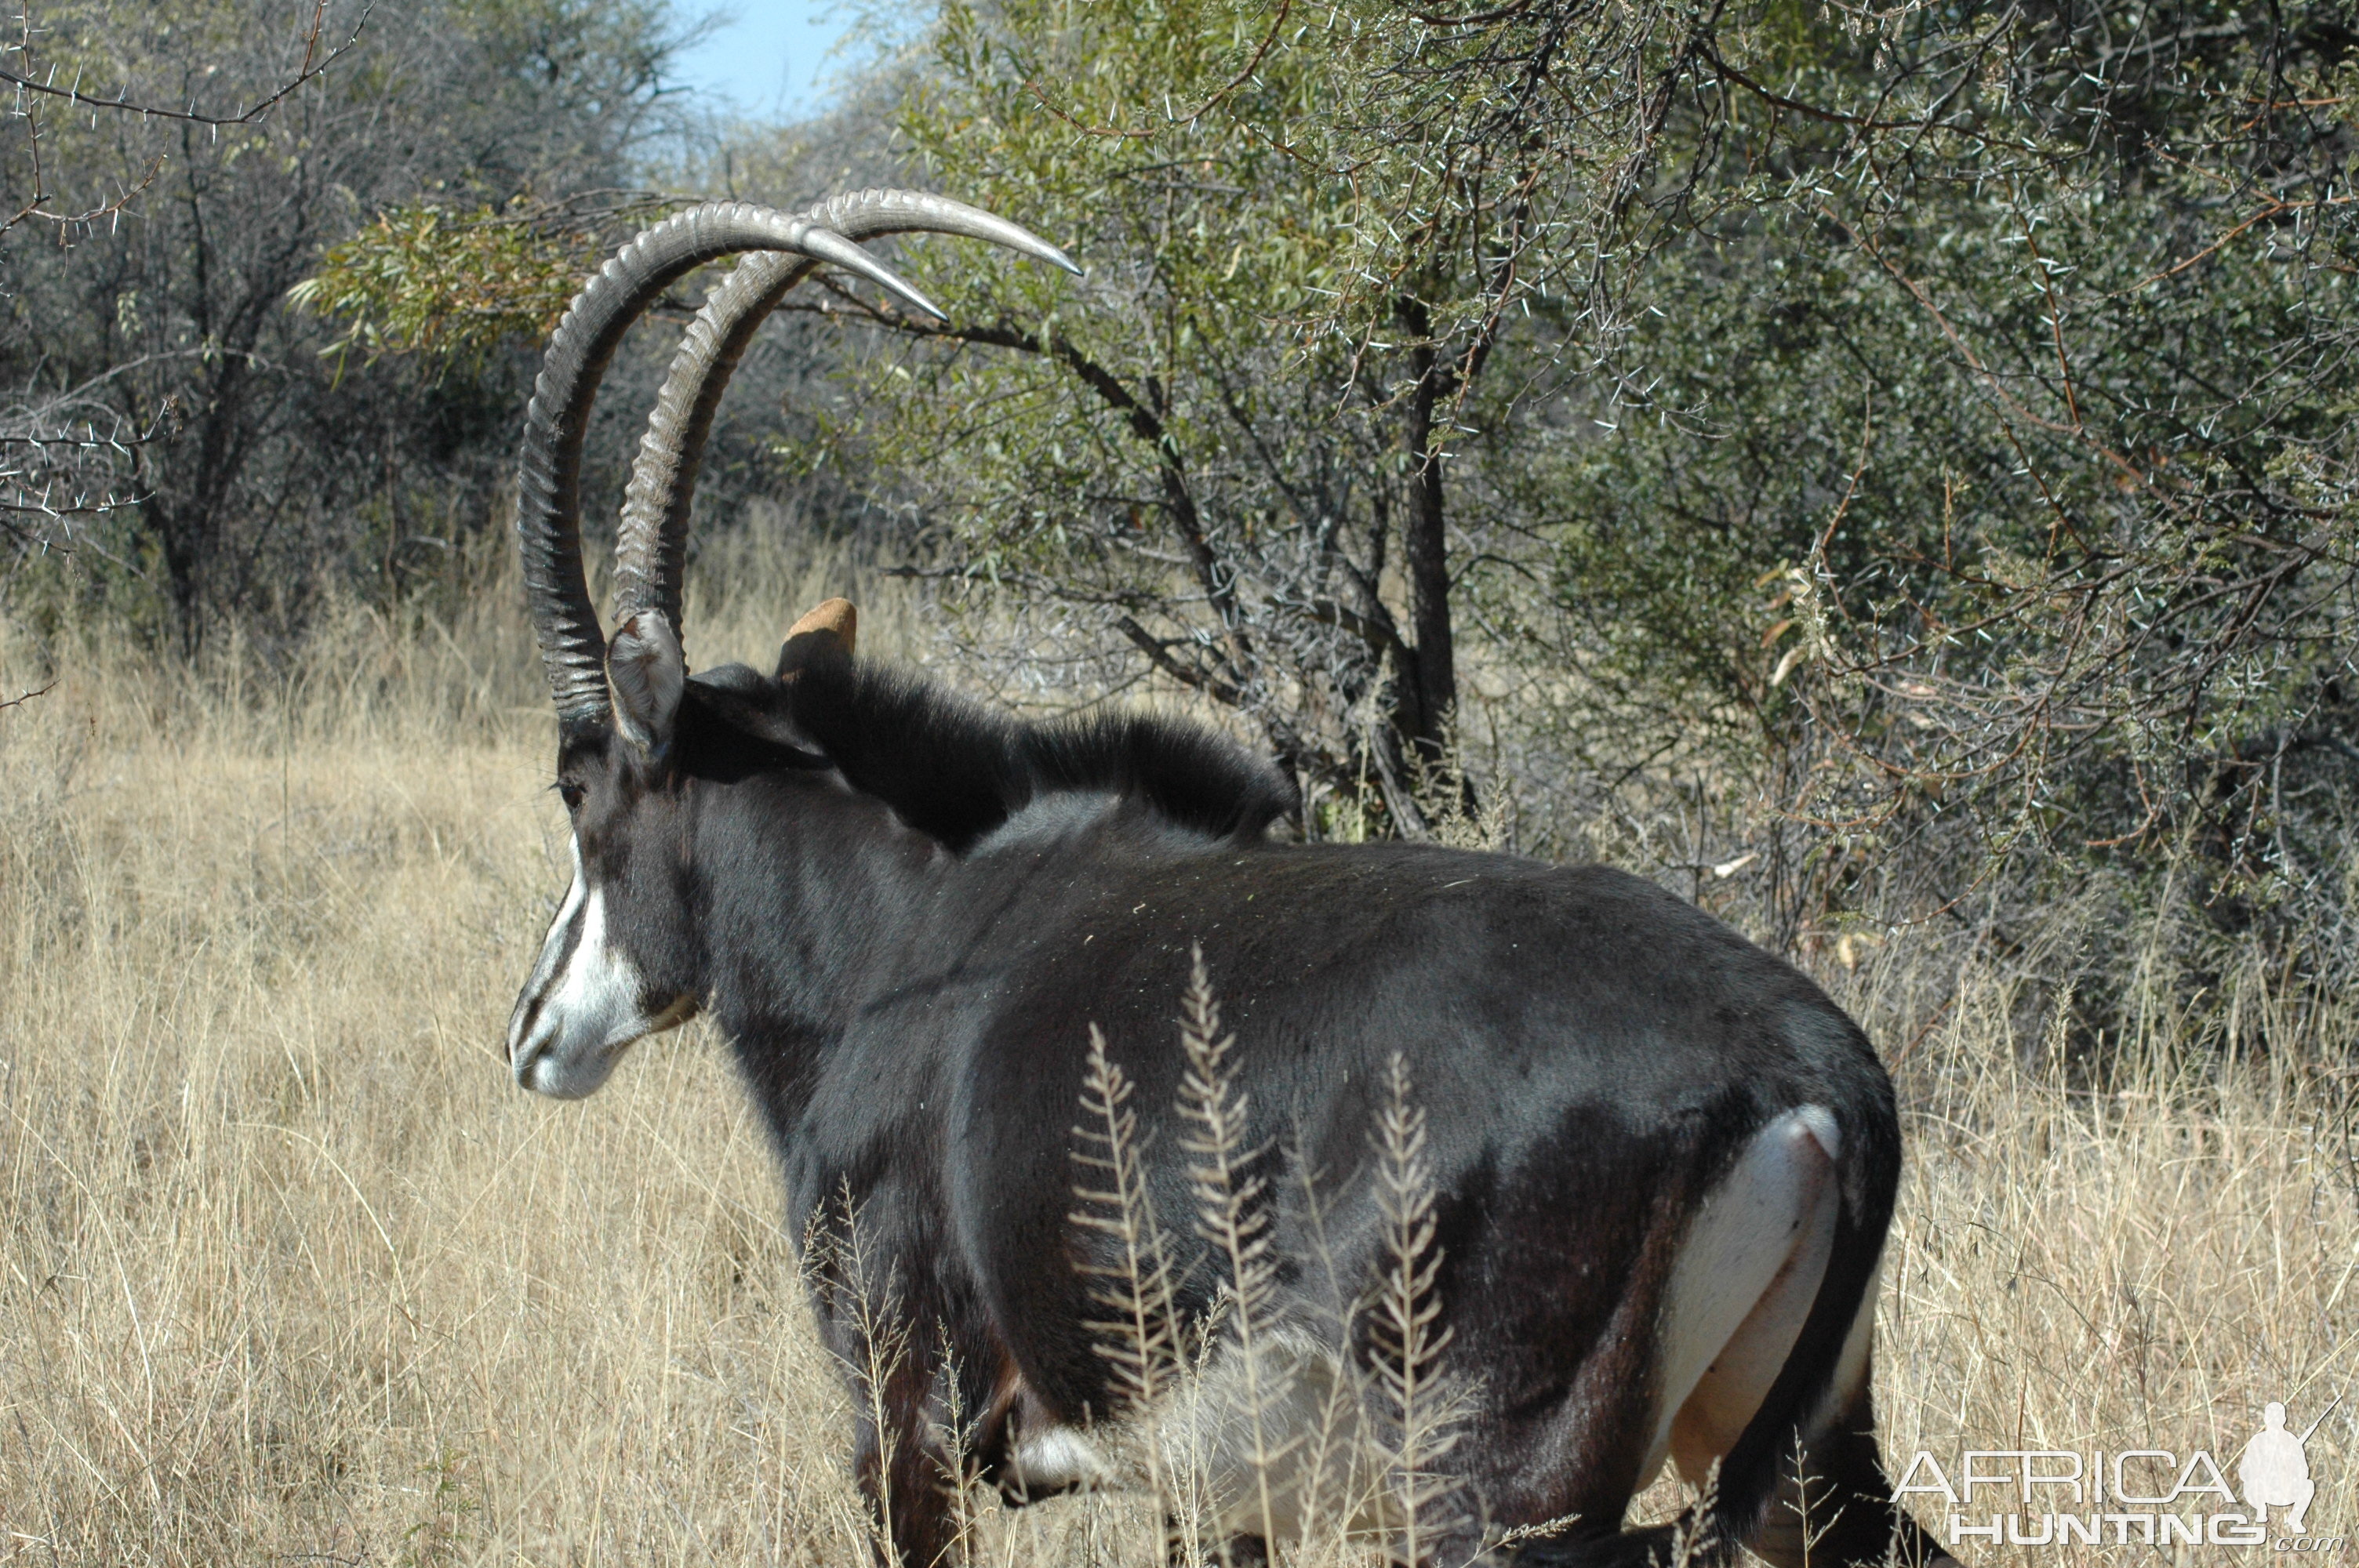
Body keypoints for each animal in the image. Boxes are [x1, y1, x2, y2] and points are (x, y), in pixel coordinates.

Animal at [497, 190, 1953, 1555]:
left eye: (576, 785)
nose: (532, 1031)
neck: (902, 945)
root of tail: (1814, 1065)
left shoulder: (904, 1429)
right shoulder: (1206, 1490)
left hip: (1503, 1502)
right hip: (1801, 1459)